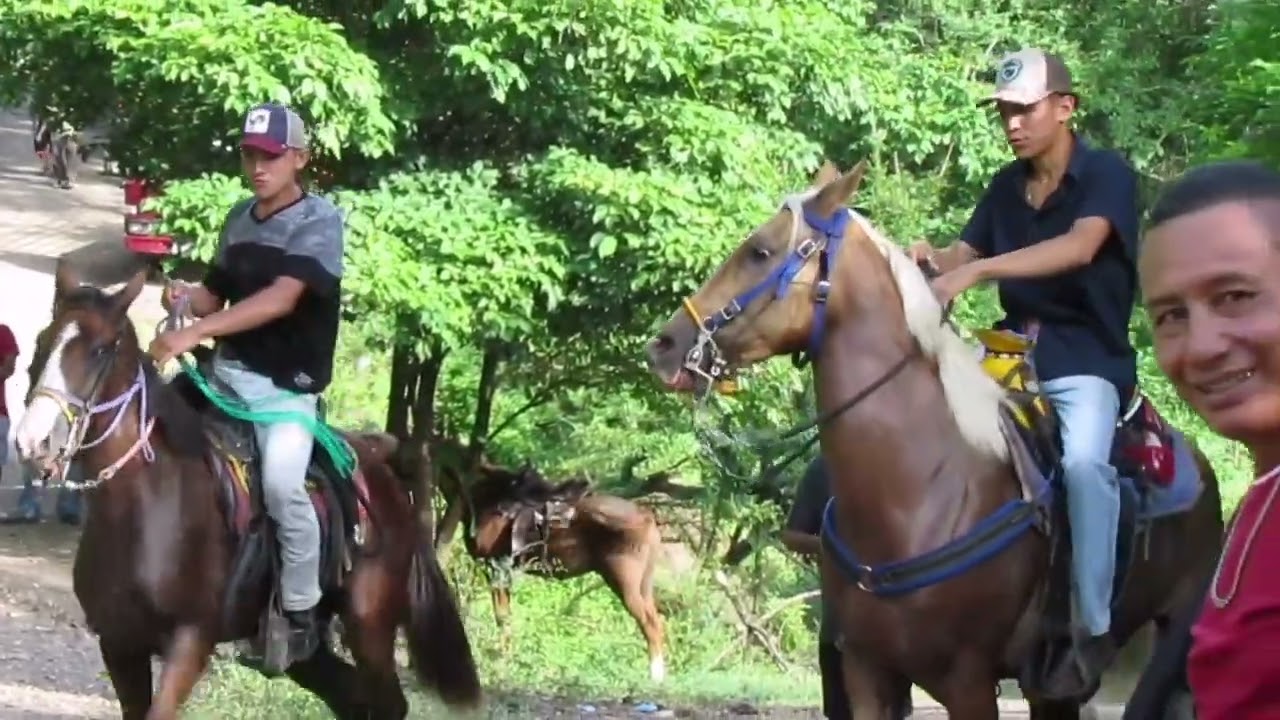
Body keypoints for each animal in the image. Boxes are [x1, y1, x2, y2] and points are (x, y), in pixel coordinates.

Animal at [11, 265, 482, 720]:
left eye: (102, 350)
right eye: (42, 341)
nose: (35, 441)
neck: (144, 509)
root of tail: (386, 476)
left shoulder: (191, 641)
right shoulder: (119, 643)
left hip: (370, 625)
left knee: (387, 703)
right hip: (308, 653)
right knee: (350, 698)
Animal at [443, 460, 667, 682]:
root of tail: (648, 518)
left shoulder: (496, 567)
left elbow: (502, 618)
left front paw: (502, 663)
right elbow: (506, 617)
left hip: (624, 581)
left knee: (650, 624)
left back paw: (655, 678)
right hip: (644, 585)